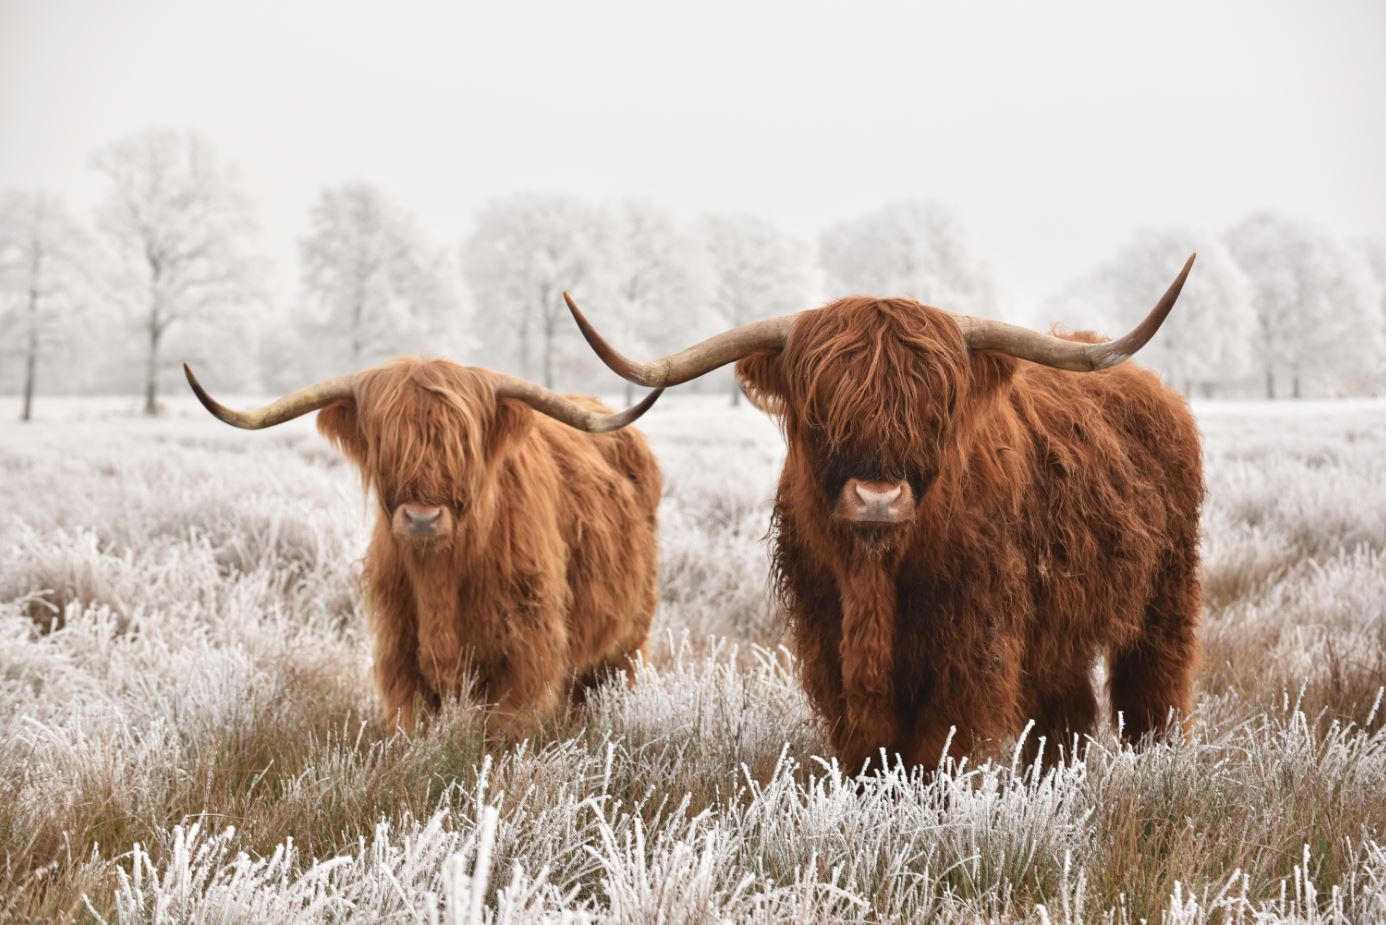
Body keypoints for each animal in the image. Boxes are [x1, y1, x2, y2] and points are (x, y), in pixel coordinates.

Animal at [187, 360, 662, 737]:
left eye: (462, 444)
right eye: (385, 442)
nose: (421, 518)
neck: (441, 576)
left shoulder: (526, 655)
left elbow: (503, 734)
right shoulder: (399, 654)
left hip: (628, 639)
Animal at [562, 256, 1203, 771]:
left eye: (935, 409)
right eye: (820, 410)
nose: (876, 498)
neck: (875, 577)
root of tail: (1158, 391)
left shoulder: (972, 644)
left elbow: (938, 748)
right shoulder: (828, 638)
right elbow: (868, 748)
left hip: (1166, 596)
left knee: (1152, 691)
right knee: (1066, 711)